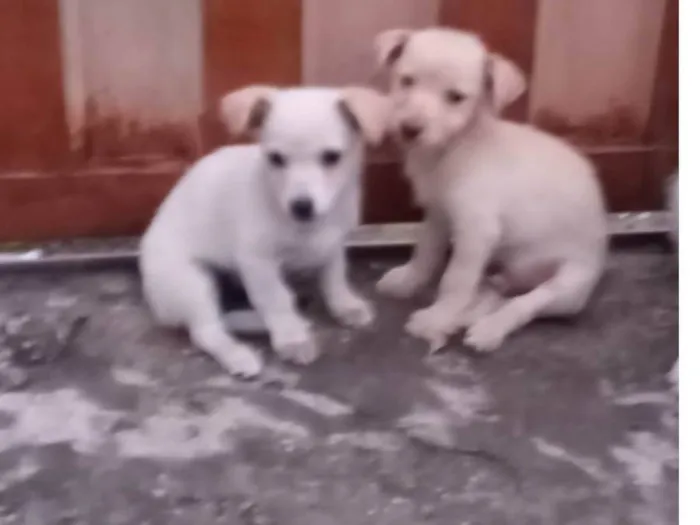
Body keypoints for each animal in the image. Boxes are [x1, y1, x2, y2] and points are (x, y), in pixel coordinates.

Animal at [138, 85, 388, 372]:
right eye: (276, 159)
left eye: (331, 157)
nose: (301, 206)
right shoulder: (258, 262)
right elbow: (277, 300)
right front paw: (292, 339)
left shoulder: (334, 246)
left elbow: (334, 279)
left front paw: (345, 305)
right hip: (191, 282)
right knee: (207, 330)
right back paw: (238, 355)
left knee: (227, 317)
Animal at [372, 26, 608, 350]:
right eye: (406, 81)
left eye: (456, 97)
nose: (409, 129)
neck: (453, 150)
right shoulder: (438, 214)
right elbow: (426, 251)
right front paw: (409, 281)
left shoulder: (476, 232)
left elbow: (455, 280)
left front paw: (436, 318)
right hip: (502, 272)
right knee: (494, 293)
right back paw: (468, 316)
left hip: (568, 286)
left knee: (524, 304)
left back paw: (488, 329)